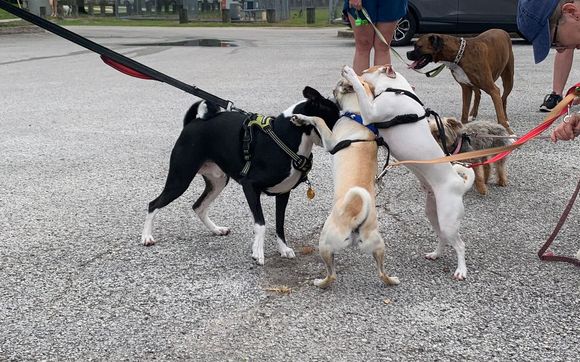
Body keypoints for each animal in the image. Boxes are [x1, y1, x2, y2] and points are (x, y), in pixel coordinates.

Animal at [141, 86, 340, 264]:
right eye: (337, 118)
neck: (283, 139)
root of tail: (194, 121)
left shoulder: (283, 193)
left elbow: (279, 224)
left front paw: (283, 248)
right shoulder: (250, 186)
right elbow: (261, 223)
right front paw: (258, 252)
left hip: (218, 181)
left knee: (198, 206)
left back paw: (216, 229)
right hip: (180, 179)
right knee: (154, 204)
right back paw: (147, 236)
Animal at [292, 79, 402, 288]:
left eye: (336, 88)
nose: (331, 92)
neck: (358, 115)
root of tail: (356, 220)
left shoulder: (330, 140)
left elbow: (317, 119)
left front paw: (301, 118)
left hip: (325, 243)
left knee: (332, 275)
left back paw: (320, 282)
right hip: (378, 246)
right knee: (381, 273)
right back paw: (392, 280)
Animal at [342, 64, 474, 280]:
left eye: (365, 70)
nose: (356, 70)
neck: (396, 89)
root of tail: (459, 185)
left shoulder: (371, 111)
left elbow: (362, 91)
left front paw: (350, 75)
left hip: (448, 220)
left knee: (460, 245)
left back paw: (461, 270)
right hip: (433, 214)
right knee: (443, 238)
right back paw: (436, 254)